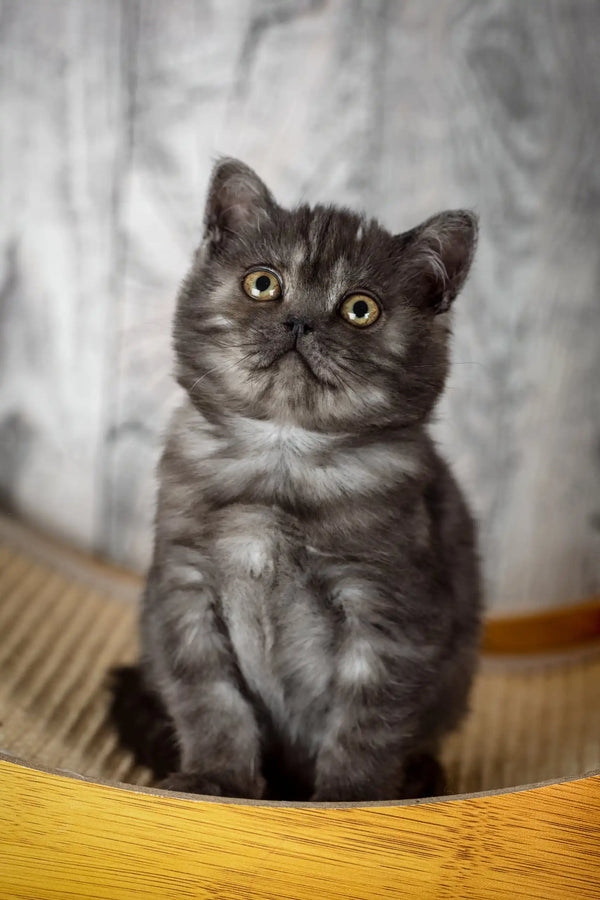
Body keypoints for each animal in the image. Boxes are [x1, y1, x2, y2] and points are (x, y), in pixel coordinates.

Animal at [112, 160, 480, 800]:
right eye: (263, 284)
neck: (282, 458)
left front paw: (349, 802)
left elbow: (366, 727)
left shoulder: (390, 615)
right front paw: (216, 780)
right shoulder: (183, 591)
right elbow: (211, 701)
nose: (300, 322)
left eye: (360, 309)